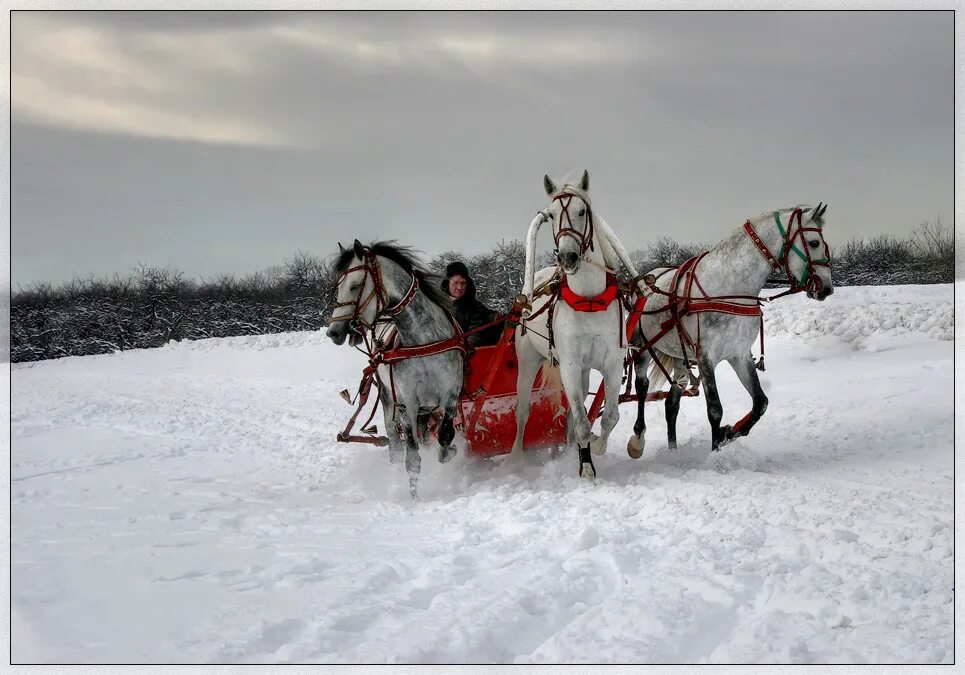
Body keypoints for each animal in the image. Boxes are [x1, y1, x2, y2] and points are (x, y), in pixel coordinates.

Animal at [512, 172, 640, 478]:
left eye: (582, 212)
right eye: (551, 215)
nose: (567, 258)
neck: (589, 301)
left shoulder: (612, 364)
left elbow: (609, 417)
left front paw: (596, 447)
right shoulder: (569, 365)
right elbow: (582, 421)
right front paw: (586, 468)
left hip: (583, 370)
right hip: (528, 359)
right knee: (523, 411)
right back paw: (516, 457)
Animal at [628, 201, 832, 456]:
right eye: (814, 243)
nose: (826, 288)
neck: (729, 288)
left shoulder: (739, 354)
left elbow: (760, 403)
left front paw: (730, 432)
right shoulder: (706, 357)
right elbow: (715, 410)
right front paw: (716, 452)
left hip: (680, 358)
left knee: (671, 403)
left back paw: (673, 450)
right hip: (642, 348)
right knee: (641, 387)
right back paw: (638, 437)